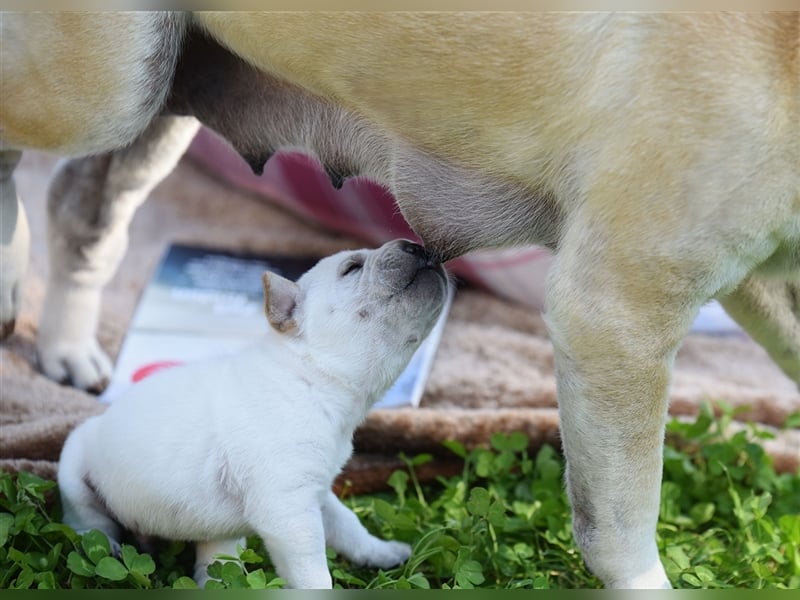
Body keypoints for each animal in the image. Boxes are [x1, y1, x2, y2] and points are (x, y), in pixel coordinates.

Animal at [57, 240, 444, 592]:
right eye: (351, 268)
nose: (418, 245)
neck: (313, 378)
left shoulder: (316, 493)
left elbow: (349, 526)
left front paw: (382, 551)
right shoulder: (289, 509)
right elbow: (314, 573)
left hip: (214, 530)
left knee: (217, 559)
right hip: (73, 470)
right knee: (88, 519)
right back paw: (105, 544)